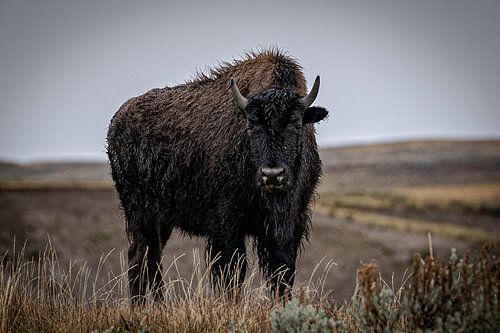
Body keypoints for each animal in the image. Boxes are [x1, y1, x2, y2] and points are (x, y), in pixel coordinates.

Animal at [106, 48, 328, 300]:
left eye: (296, 123)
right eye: (251, 124)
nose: (272, 175)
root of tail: (116, 123)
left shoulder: (291, 225)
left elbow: (282, 274)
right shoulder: (226, 226)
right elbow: (231, 273)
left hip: (160, 220)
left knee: (146, 257)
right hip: (140, 213)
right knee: (143, 256)